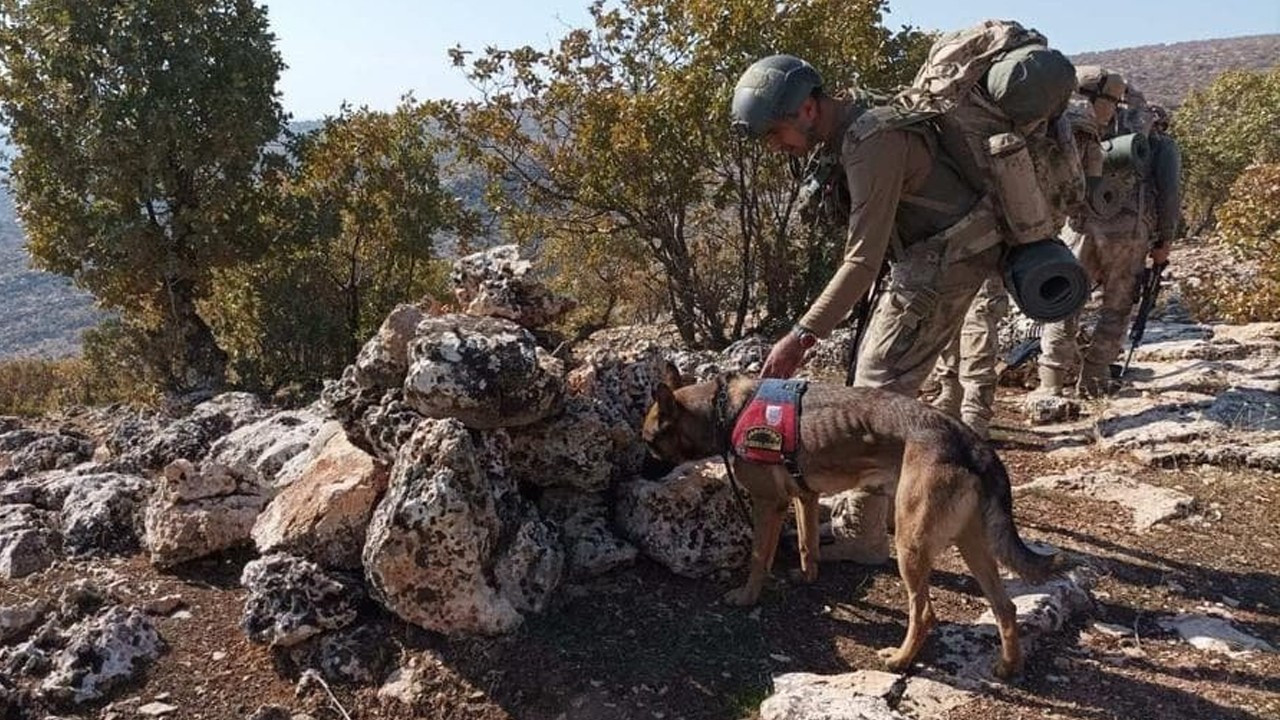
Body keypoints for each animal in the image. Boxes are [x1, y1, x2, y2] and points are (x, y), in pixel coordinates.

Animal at [645, 363, 1064, 676]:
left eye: (649, 441)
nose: (643, 474)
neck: (722, 410)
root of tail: (972, 443)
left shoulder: (769, 504)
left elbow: (759, 558)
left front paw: (747, 598)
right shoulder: (805, 497)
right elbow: (807, 545)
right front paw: (806, 577)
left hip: (911, 543)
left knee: (925, 613)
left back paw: (899, 659)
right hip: (970, 543)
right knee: (1005, 607)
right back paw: (1008, 666)